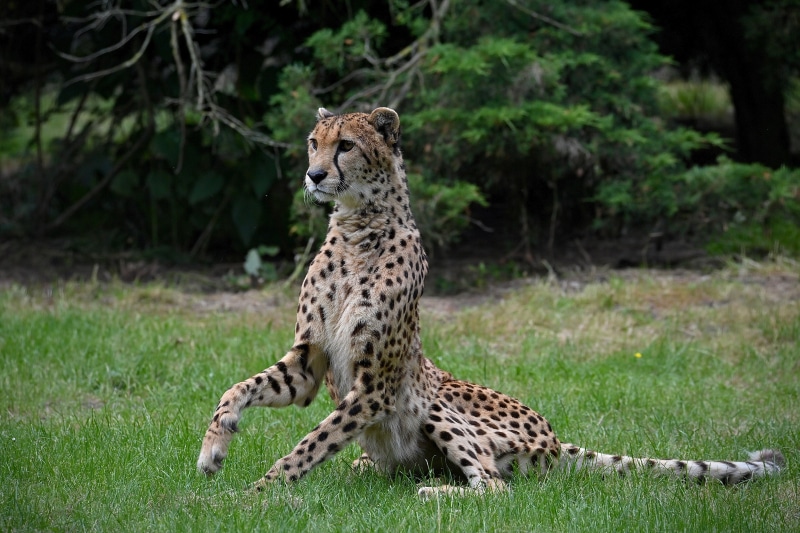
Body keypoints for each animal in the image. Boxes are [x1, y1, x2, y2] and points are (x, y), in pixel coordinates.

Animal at [197, 106, 784, 497]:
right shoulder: (308, 364)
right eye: (313, 142)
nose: (314, 175)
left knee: (495, 487)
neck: (357, 228)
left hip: (439, 403)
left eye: (345, 145)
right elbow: (239, 389)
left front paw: (261, 491)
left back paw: (436, 494)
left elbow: (313, 440)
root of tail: (555, 437)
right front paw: (214, 447)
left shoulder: (377, 388)